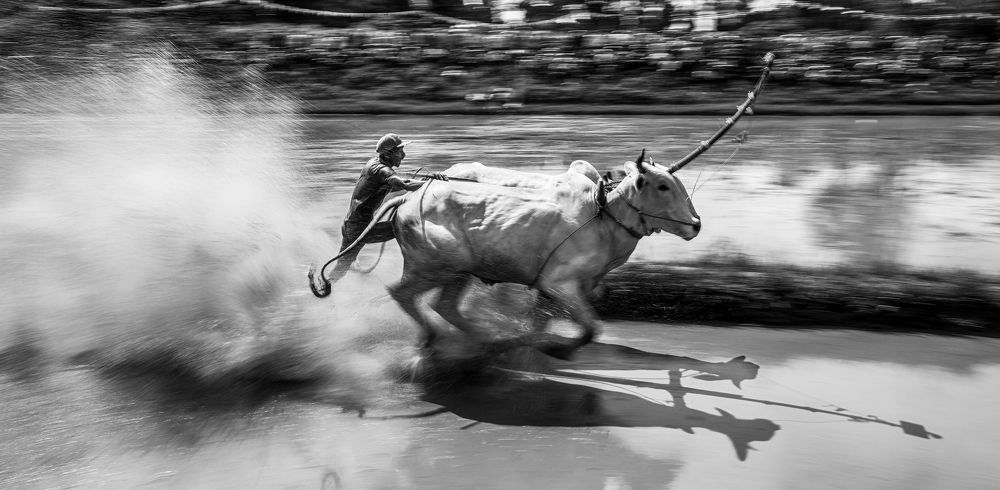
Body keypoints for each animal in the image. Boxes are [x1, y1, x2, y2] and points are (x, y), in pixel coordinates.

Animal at [310, 150, 700, 359]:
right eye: (662, 185)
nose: (695, 224)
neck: (602, 213)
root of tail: (409, 196)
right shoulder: (558, 283)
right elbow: (590, 327)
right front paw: (558, 349)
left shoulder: (563, 288)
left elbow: (546, 319)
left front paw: (532, 341)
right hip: (435, 265)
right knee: (402, 293)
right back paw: (434, 339)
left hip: (460, 271)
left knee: (444, 305)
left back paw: (486, 339)